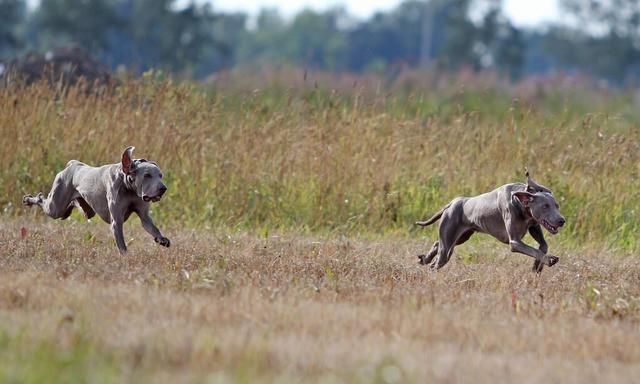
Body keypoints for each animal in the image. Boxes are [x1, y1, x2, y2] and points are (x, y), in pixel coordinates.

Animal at [24, 146, 171, 252]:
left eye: (160, 175)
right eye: (147, 175)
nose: (163, 188)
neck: (128, 187)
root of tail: (73, 165)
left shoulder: (144, 215)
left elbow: (151, 226)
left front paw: (161, 239)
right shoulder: (116, 221)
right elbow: (122, 245)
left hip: (87, 211)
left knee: (75, 206)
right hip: (55, 208)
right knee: (43, 201)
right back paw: (29, 199)